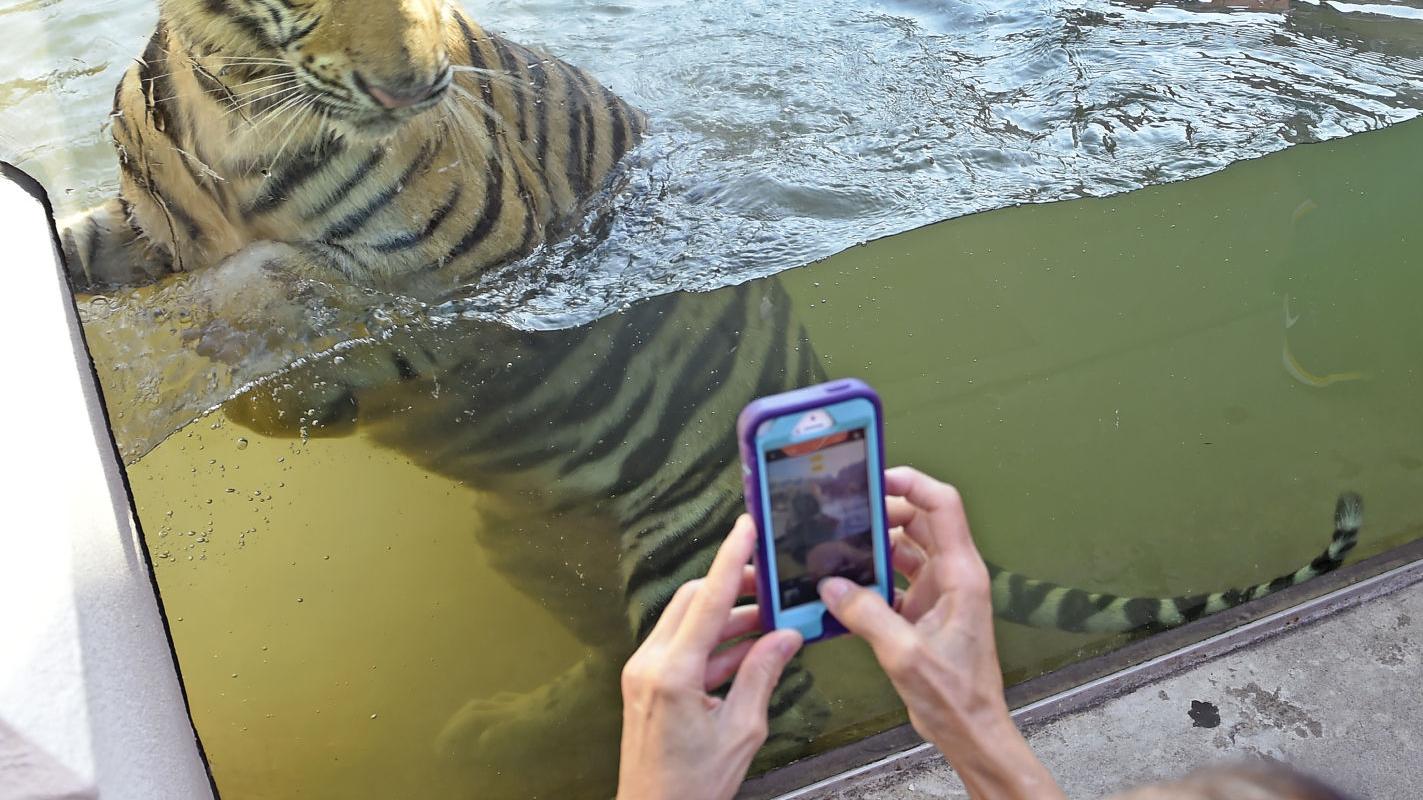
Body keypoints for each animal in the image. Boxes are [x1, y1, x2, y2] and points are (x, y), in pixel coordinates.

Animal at [53, 0, 1365, 796]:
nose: (417, 88)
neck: (239, 103)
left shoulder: (486, 292)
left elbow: (301, 298)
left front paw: (239, 374)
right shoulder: (145, 223)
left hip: (691, 551)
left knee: (759, 698)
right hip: (533, 542)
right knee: (608, 657)